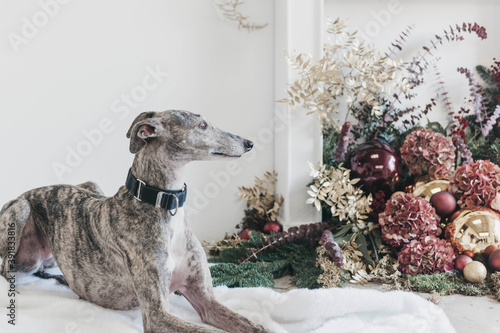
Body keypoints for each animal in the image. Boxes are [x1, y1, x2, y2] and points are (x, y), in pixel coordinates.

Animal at [0, 111, 270, 332]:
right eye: (202, 125)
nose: (249, 143)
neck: (164, 205)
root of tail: (30, 191)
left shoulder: (206, 300)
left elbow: (253, 326)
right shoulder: (157, 315)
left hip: (91, 186)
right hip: (22, 214)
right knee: (5, 268)